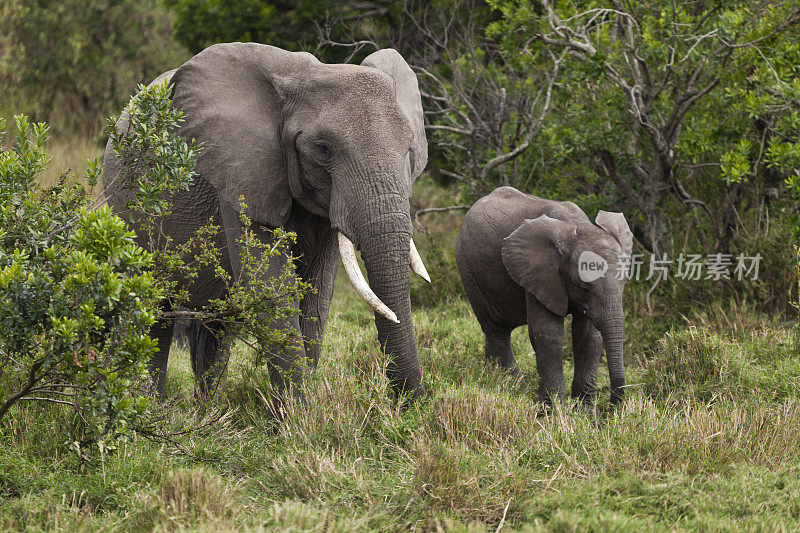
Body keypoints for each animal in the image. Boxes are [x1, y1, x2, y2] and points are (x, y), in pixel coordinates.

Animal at [106, 42, 434, 408]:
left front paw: (299, 413)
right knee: (156, 308)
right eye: (322, 149)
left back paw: (207, 409)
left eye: (409, 147)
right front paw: (298, 417)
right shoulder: (242, 175)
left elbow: (318, 290)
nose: (408, 408)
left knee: (218, 325)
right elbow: (269, 284)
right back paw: (154, 407)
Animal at [456, 185, 632, 410]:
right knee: (496, 329)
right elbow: (547, 334)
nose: (612, 409)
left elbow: (588, 336)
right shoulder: (537, 271)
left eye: (623, 281)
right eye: (583, 287)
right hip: (468, 269)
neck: (579, 226)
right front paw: (553, 412)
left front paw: (585, 414)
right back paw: (512, 386)